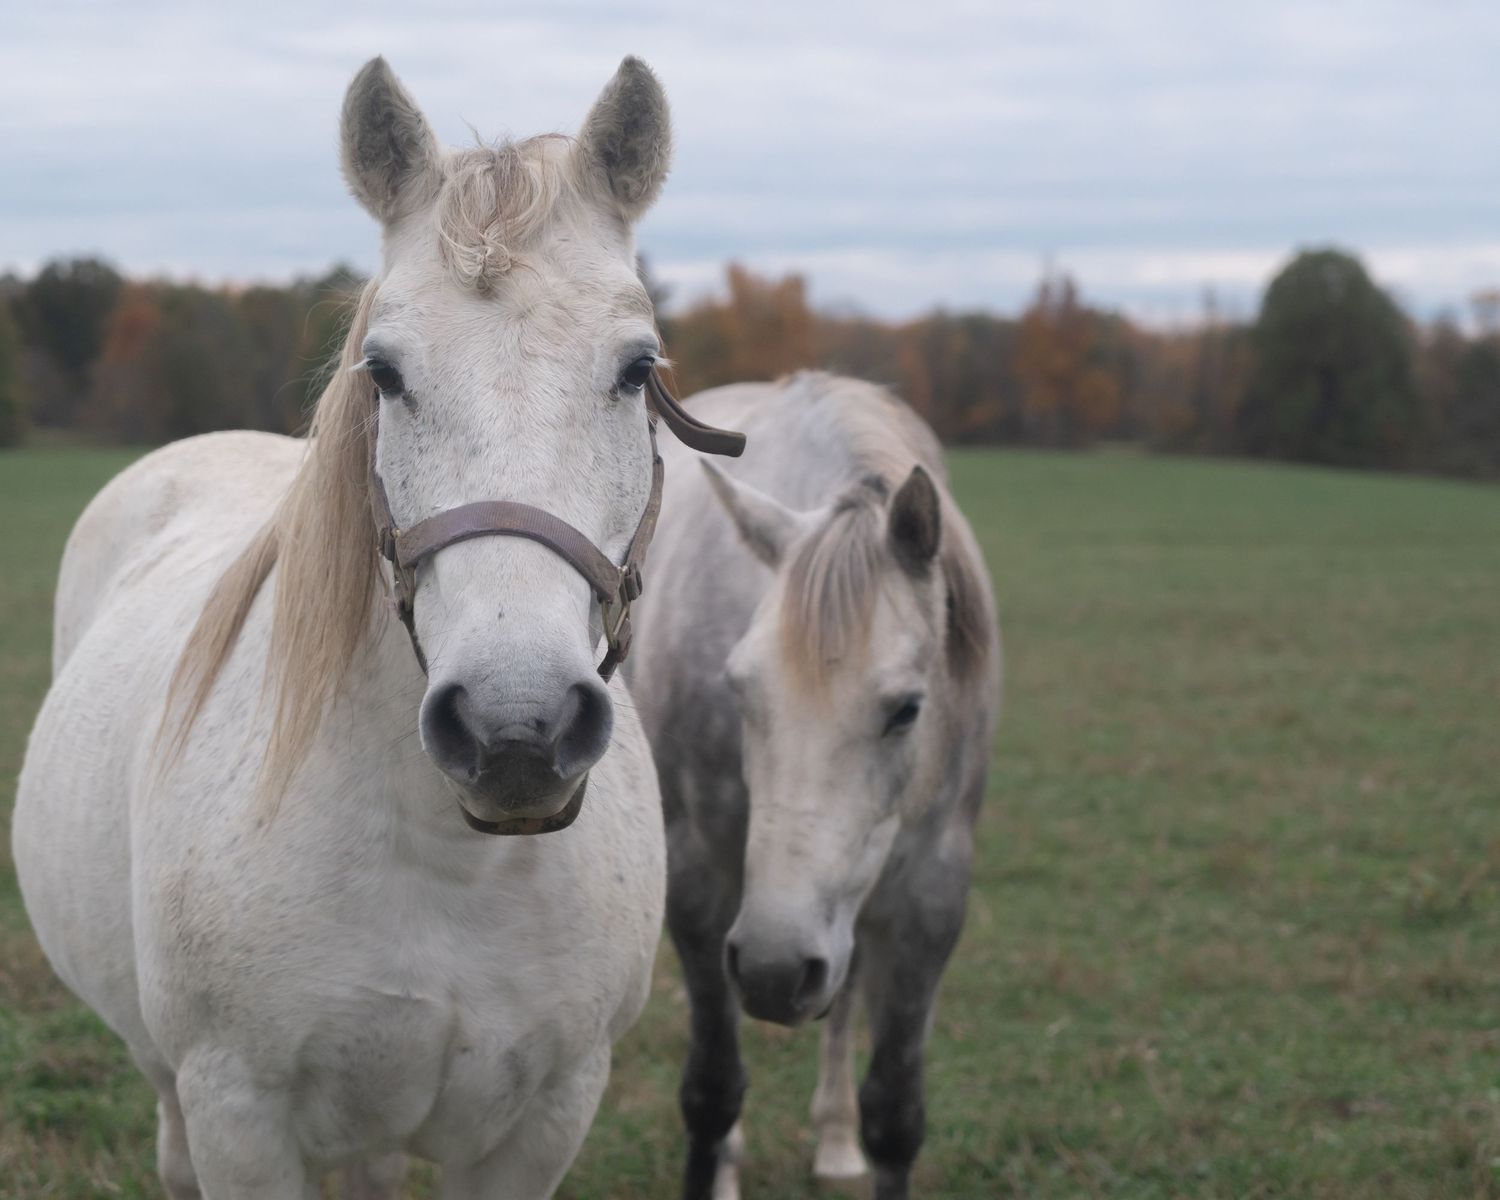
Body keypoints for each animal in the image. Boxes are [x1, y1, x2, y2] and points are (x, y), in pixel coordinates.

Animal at [13, 55, 709, 1199]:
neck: (451, 861)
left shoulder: (544, 1122)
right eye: (383, 371)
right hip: (171, 1087)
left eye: (638, 369)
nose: (517, 730)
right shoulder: (238, 1117)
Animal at [628, 372, 1001, 1200]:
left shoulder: (933, 896)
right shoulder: (701, 881)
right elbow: (713, 1087)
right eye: (738, 689)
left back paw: (832, 1138)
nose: (774, 971)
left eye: (907, 709)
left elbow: (895, 1113)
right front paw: (715, 1163)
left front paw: (854, 1134)